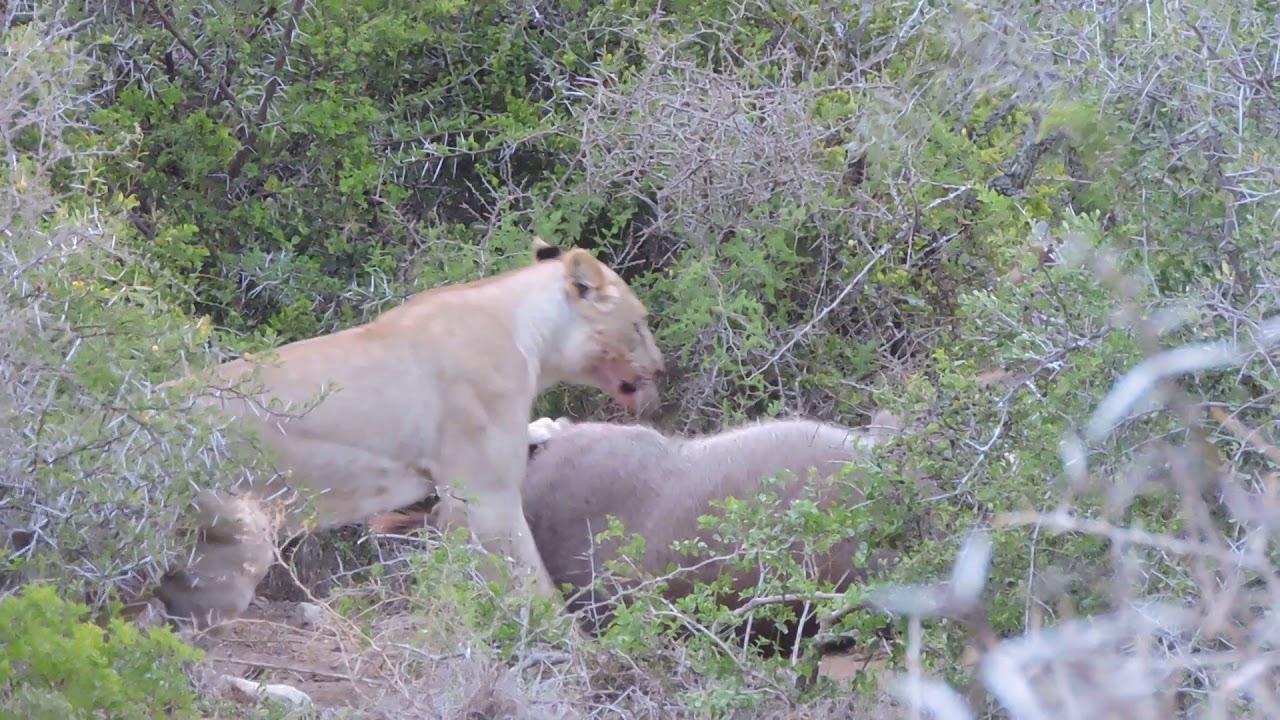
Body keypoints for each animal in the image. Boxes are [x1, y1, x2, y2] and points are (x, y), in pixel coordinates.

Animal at [153, 238, 666, 629]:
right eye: (639, 323)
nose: (662, 367)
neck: (529, 334)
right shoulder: (485, 496)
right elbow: (530, 578)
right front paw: (570, 645)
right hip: (238, 539)